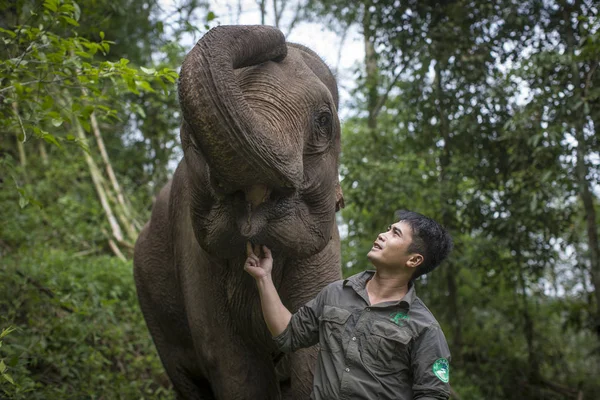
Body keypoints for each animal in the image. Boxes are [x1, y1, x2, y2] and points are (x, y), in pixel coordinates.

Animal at [134, 25, 344, 400]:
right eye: (190, 134)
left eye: (323, 120)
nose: (281, 43)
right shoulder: (193, 249)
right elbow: (233, 364)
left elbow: (313, 350)